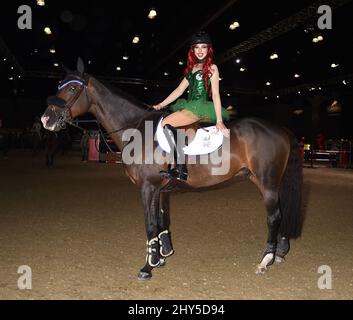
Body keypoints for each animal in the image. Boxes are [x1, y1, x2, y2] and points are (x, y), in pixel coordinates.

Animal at [40, 59, 300, 280]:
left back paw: (265, 260)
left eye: (73, 89)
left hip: (267, 182)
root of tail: (281, 129)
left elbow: (149, 223)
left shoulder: (147, 187)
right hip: (264, 180)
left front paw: (147, 267)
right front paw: (161, 256)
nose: (46, 120)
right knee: (282, 212)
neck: (137, 129)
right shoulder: (159, 189)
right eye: (59, 86)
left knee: (274, 216)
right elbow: (160, 221)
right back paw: (279, 253)